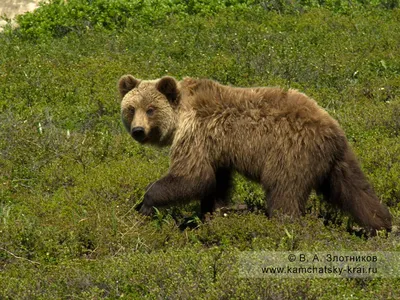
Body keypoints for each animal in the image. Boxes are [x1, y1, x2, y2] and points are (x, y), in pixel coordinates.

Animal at [117, 74, 392, 232]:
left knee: (283, 194)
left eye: (150, 109)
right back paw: (380, 225)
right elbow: (216, 182)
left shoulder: (196, 134)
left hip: (290, 152)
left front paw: (145, 203)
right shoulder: (216, 146)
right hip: (338, 160)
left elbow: (192, 176)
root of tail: (331, 129)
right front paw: (213, 214)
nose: (138, 130)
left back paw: (283, 227)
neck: (181, 115)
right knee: (356, 190)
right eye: (131, 108)